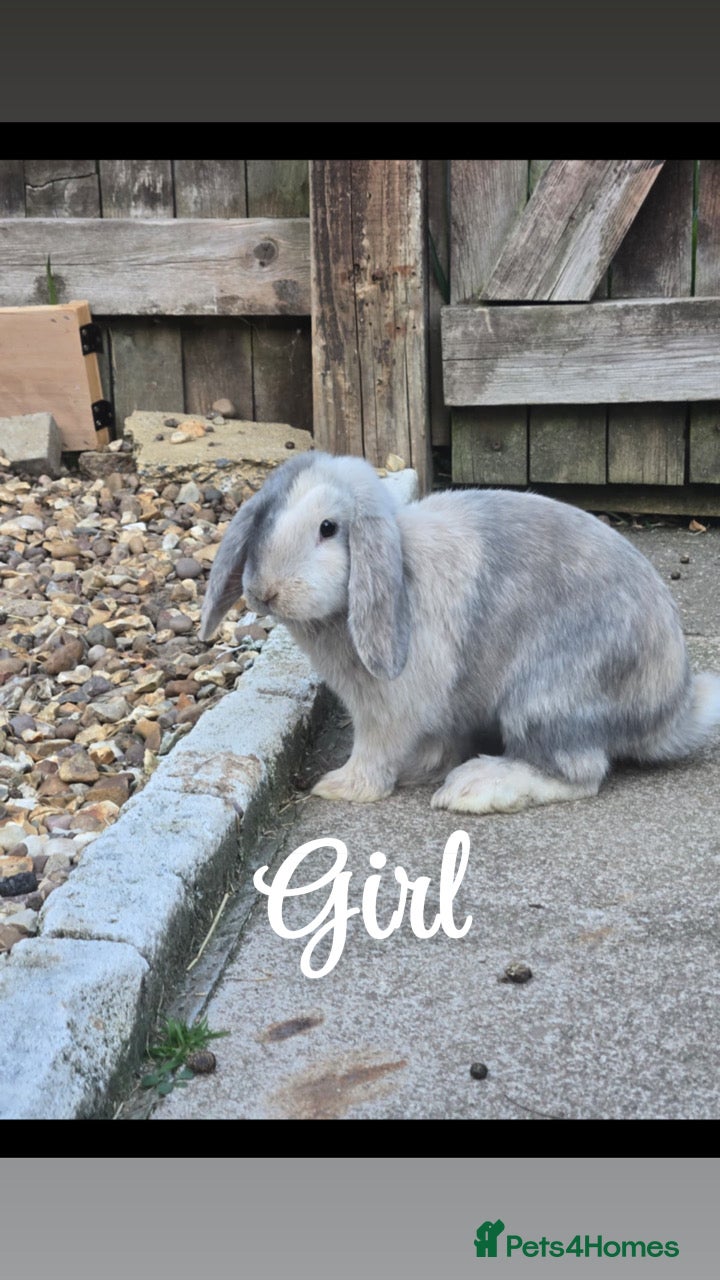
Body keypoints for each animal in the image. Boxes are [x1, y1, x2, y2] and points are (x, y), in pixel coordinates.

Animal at [199, 450, 720, 814]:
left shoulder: (387, 708)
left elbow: (374, 750)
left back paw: (477, 787)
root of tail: (671, 708)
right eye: (265, 518)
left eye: (329, 528)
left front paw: (341, 787)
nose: (265, 592)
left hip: (545, 700)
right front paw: (421, 767)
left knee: (579, 773)